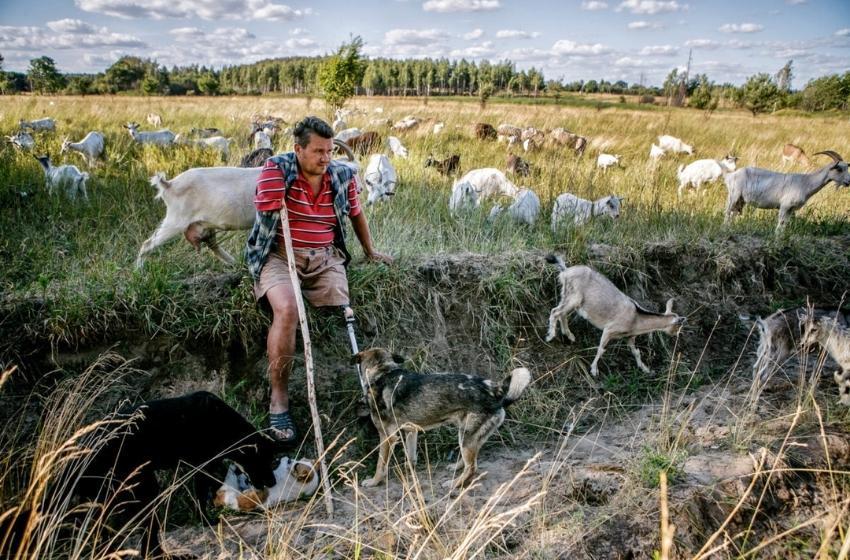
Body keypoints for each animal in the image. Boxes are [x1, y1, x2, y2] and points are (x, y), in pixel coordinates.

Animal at [548, 254, 684, 376]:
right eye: (678, 326)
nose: (676, 335)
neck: (636, 318)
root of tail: (565, 271)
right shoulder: (609, 330)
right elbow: (601, 349)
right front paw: (594, 370)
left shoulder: (630, 337)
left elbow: (636, 352)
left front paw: (645, 369)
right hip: (574, 298)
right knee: (555, 312)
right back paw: (550, 336)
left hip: (568, 297)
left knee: (562, 314)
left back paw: (569, 336)